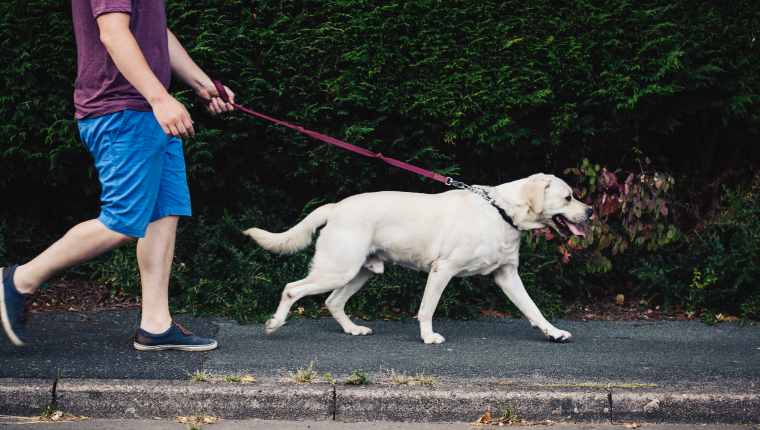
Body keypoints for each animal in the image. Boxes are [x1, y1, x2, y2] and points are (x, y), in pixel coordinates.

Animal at [246, 173, 592, 344]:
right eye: (568, 197)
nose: (590, 211)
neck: (502, 210)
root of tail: (335, 206)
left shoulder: (507, 275)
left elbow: (533, 309)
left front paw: (553, 332)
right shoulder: (442, 270)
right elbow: (427, 309)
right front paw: (427, 337)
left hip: (360, 272)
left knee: (333, 301)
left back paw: (353, 330)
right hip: (338, 269)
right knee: (292, 289)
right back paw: (275, 324)